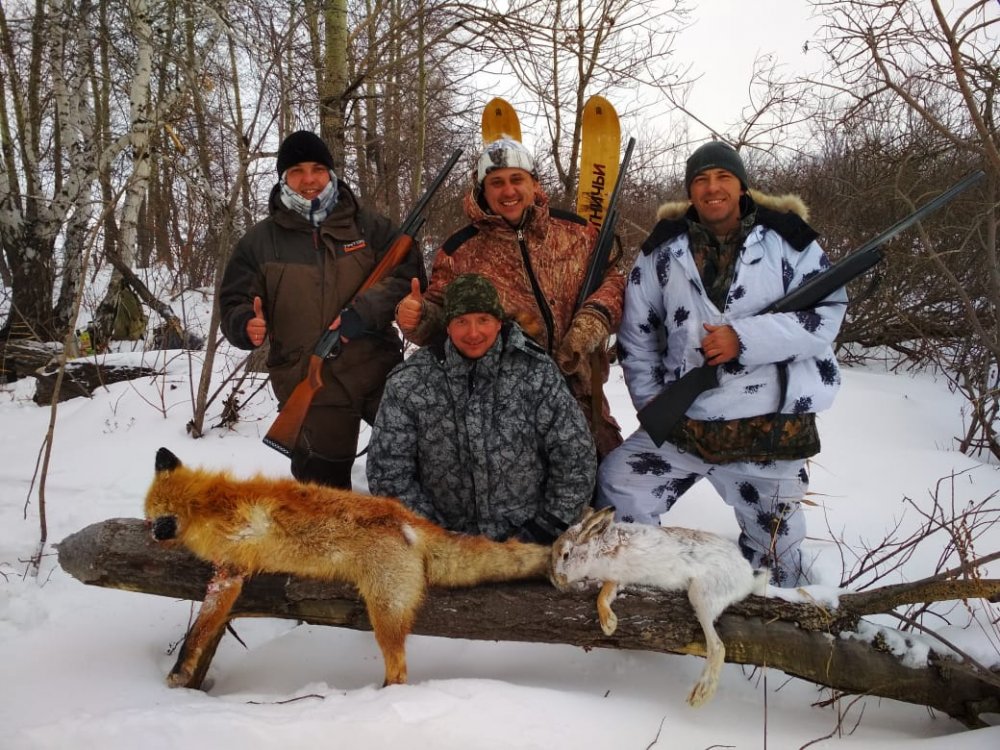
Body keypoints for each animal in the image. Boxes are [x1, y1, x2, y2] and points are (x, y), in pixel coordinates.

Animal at [143, 450, 548, 692]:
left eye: (150, 518)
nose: (149, 533)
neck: (208, 505)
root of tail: (406, 518)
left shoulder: (229, 572)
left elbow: (199, 629)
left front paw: (180, 668)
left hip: (384, 613)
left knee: (399, 672)